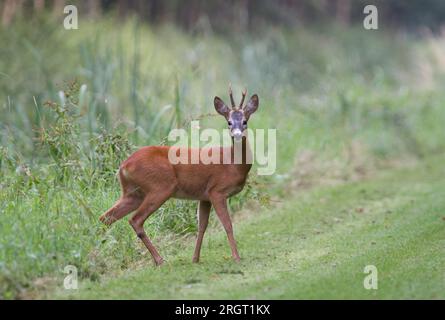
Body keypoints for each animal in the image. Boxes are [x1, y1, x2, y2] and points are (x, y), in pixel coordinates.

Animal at [99, 85, 258, 264]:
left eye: (245, 121)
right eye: (229, 122)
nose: (237, 134)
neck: (233, 164)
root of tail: (124, 166)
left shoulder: (204, 196)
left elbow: (202, 226)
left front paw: (195, 258)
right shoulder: (217, 191)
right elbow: (228, 224)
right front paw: (236, 257)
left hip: (132, 193)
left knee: (105, 218)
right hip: (160, 186)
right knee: (135, 220)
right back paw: (159, 260)